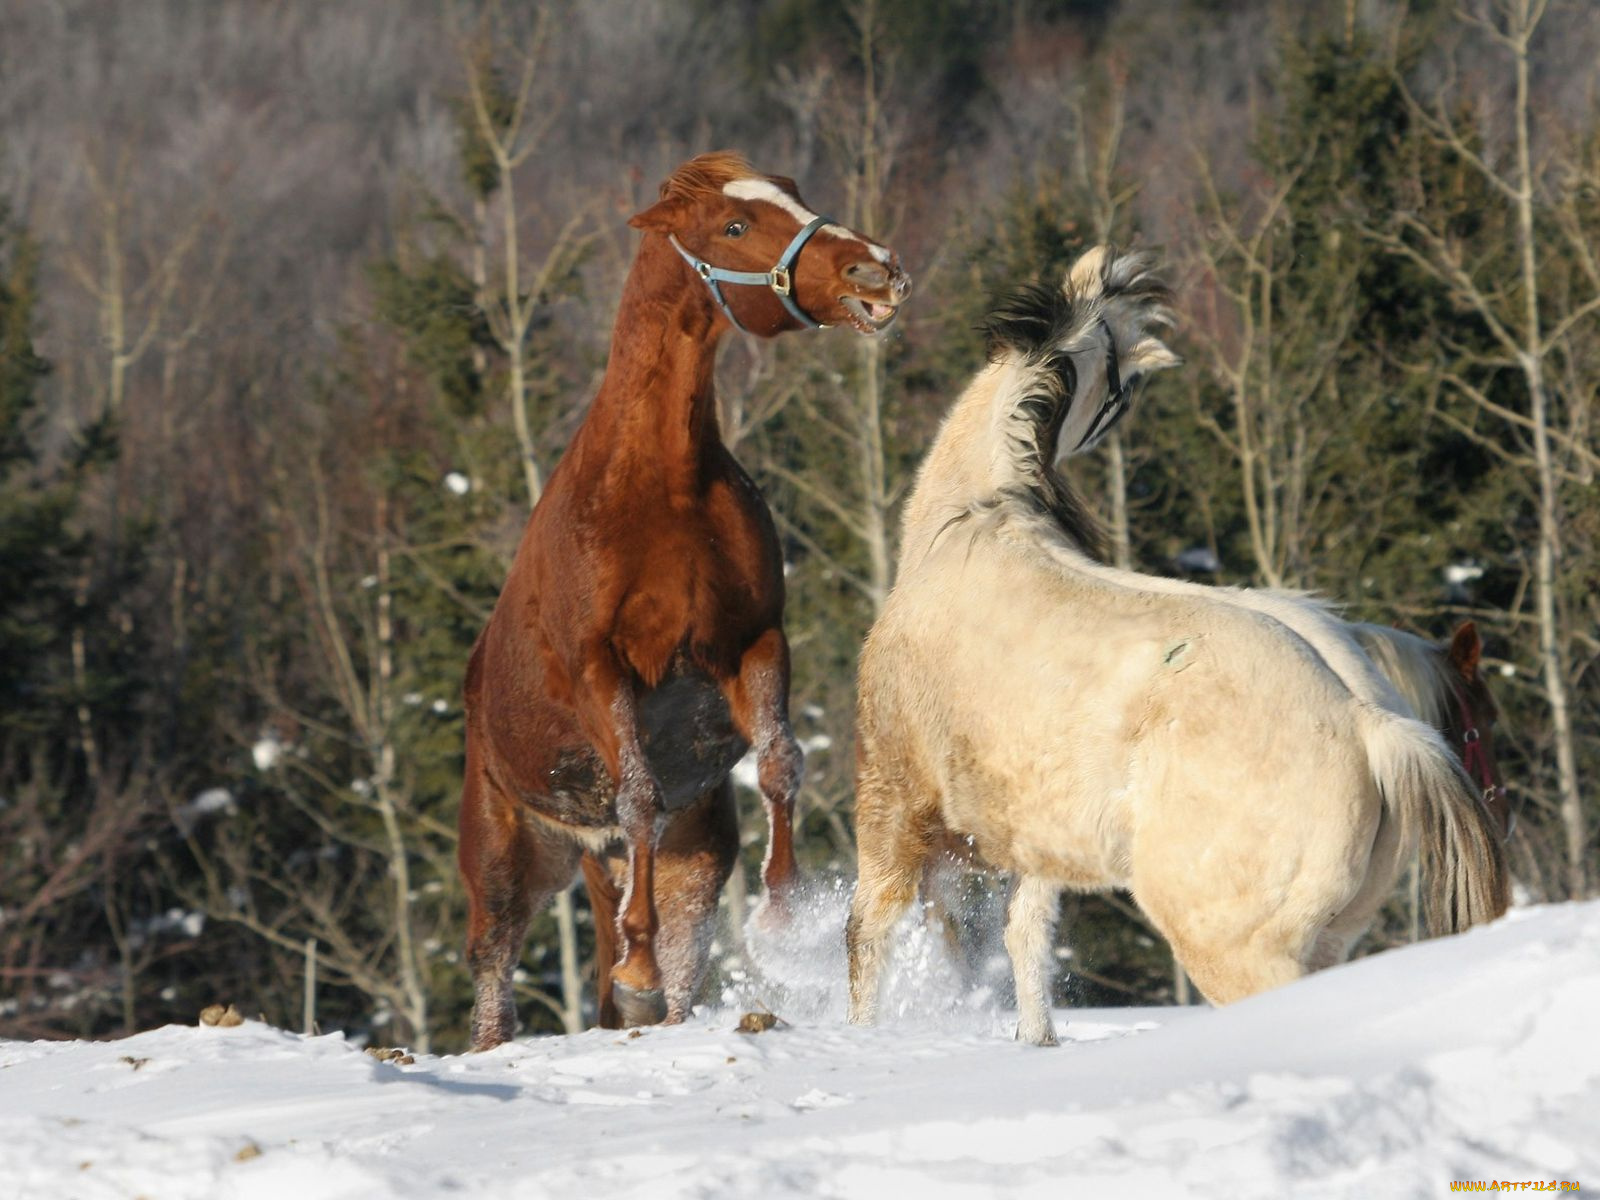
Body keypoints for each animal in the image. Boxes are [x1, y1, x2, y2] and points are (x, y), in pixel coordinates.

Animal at [464, 152, 915, 1049]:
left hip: (684, 857)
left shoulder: (752, 644)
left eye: (798, 197)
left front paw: (787, 922)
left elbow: (781, 760)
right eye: (734, 226)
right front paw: (636, 966)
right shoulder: (601, 670)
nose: (874, 268)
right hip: (504, 859)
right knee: (496, 975)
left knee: (672, 952)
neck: (662, 486)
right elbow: (639, 793)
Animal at [844, 246, 1504, 1043]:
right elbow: (1026, 941)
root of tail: (1369, 727)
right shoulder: (1037, 842)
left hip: (1234, 951)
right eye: (1124, 381)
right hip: (1326, 945)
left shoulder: (893, 794)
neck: (969, 523)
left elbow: (872, 934)